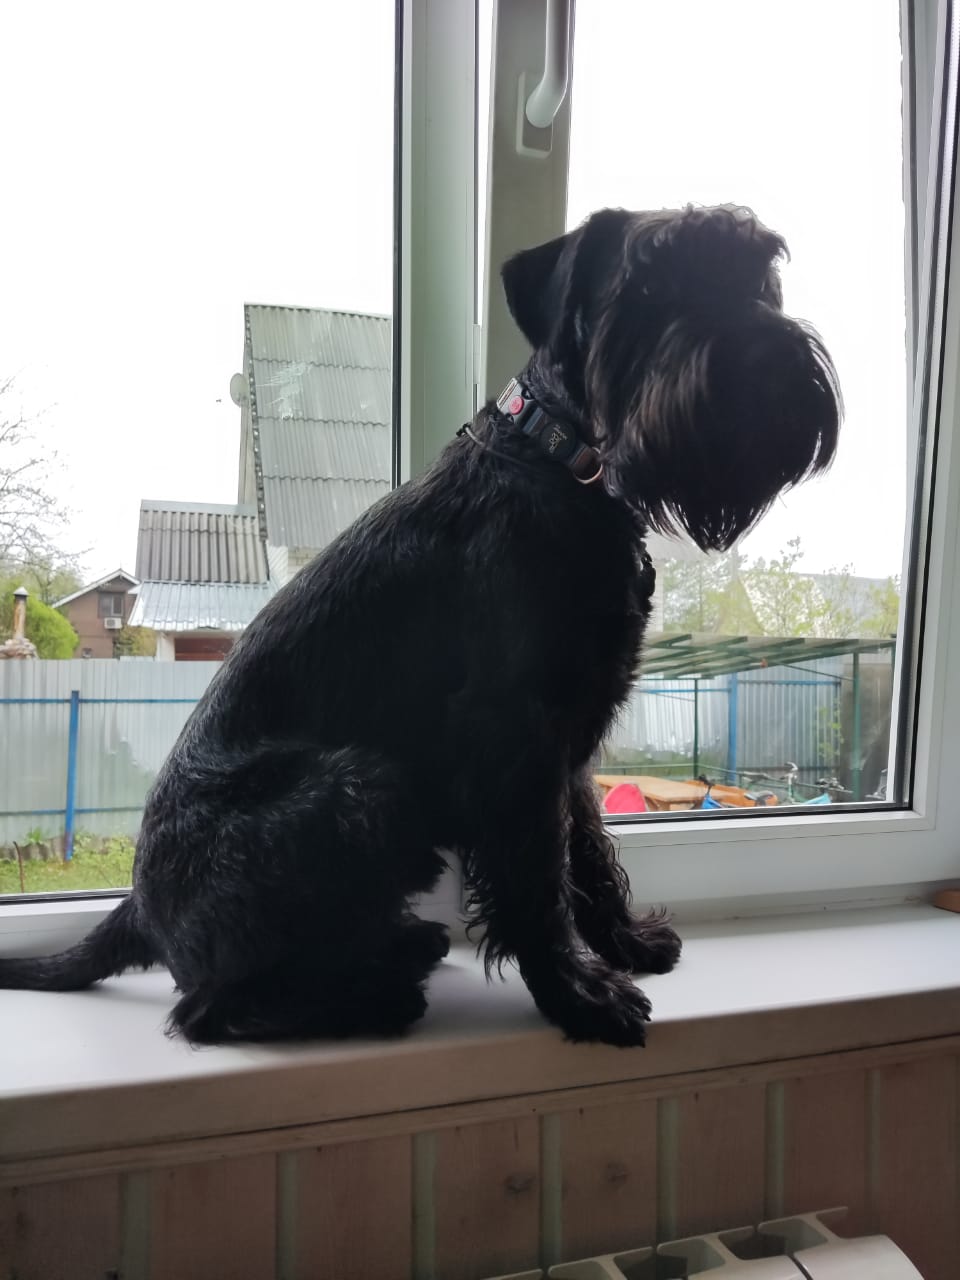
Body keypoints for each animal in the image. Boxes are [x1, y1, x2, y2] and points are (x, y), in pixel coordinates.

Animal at [0, 206, 840, 1047]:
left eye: (761, 277)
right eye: (647, 287)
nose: (767, 361)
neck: (557, 460)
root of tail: (140, 907)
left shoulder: (569, 738)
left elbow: (589, 851)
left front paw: (624, 942)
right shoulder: (513, 738)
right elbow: (539, 879)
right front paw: (579, 993)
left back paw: (400, 950)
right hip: (360, 787)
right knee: (207, 1006)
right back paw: (374, 995)